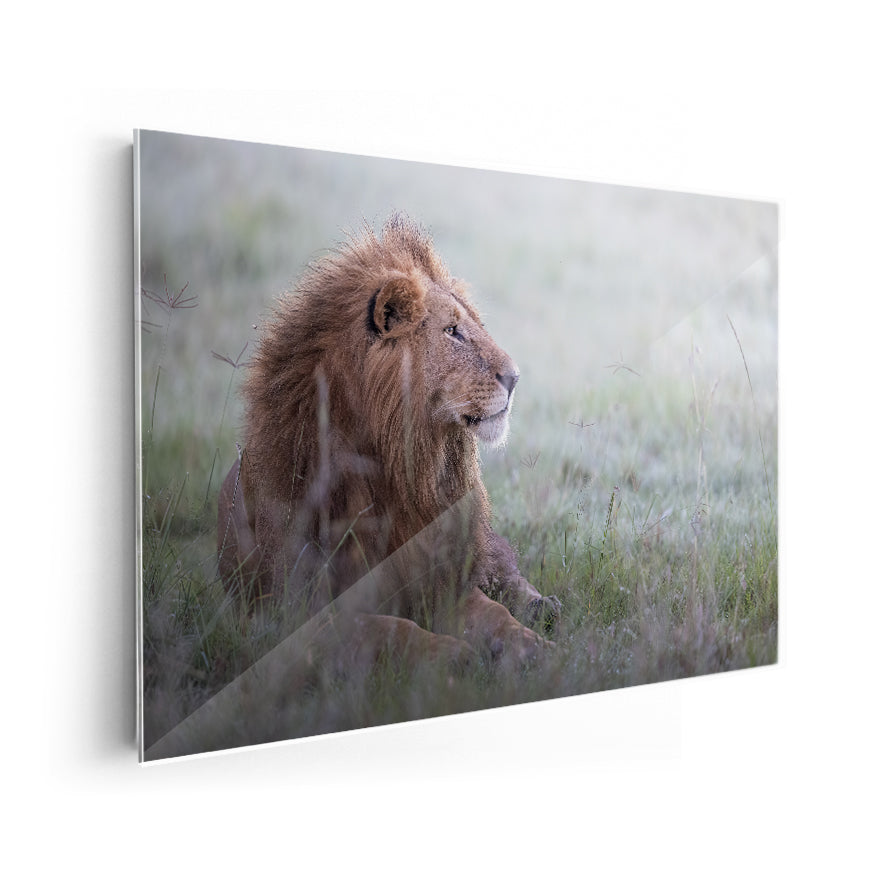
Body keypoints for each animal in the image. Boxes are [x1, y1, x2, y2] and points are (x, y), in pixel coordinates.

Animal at [217, 214, 559, 675]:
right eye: (452, 332)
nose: (516, 378)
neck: (400, 469)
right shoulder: (299, 612)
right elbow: (388, 628)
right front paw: (451, 655)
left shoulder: (443, 580)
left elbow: (494, 613)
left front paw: (531, 647)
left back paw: (543, 607)